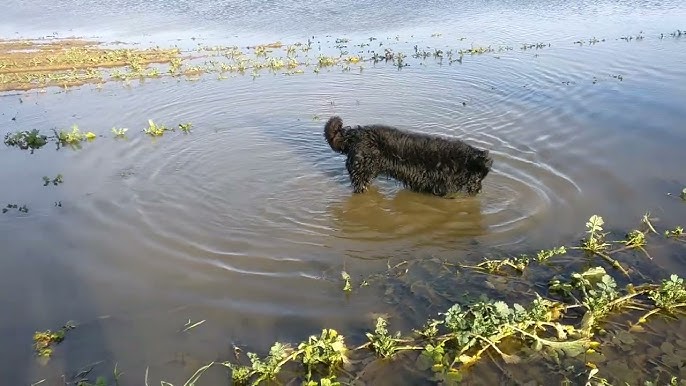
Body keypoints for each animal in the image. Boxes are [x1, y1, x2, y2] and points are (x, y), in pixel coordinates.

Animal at [324, 116, 494, 198]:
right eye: (479, 177)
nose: (479, 191)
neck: (463, 162)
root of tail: (354, 134)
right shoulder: (442, 185)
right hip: (362, 170)